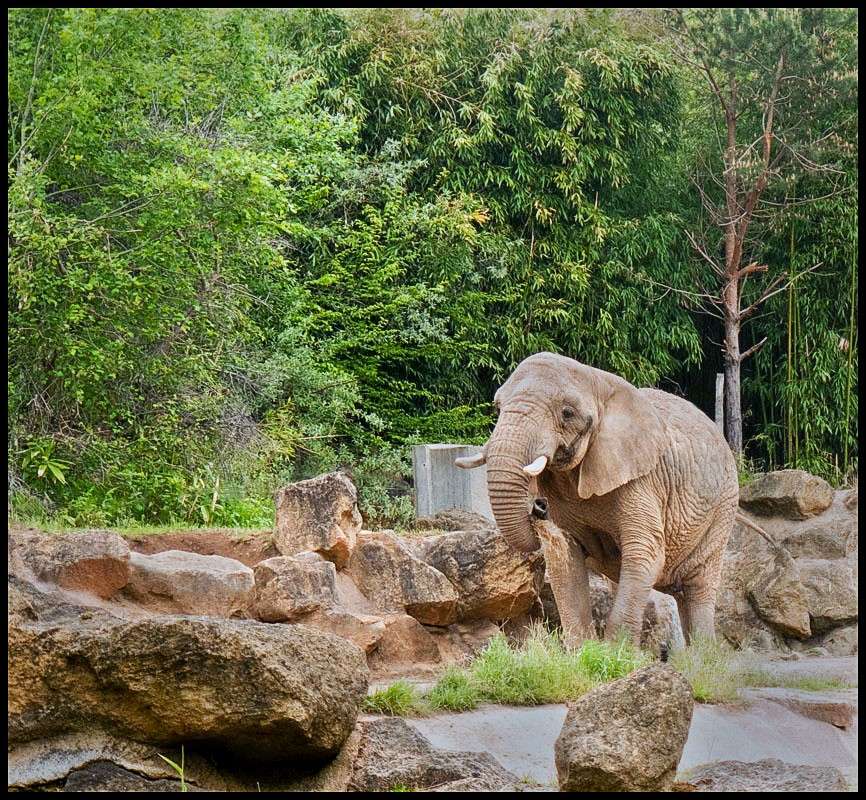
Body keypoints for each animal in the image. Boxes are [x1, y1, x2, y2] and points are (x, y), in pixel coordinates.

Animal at [452, 354, 736, 648]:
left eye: (567, 413)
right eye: (498, 407)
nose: (539, 508)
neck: (597, 381)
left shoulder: (641, 480)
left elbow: (644, 552)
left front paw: (616, 652)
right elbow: (565, 556)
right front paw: (584, 651)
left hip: (723, 508)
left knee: (698, 587)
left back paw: (701, 656)